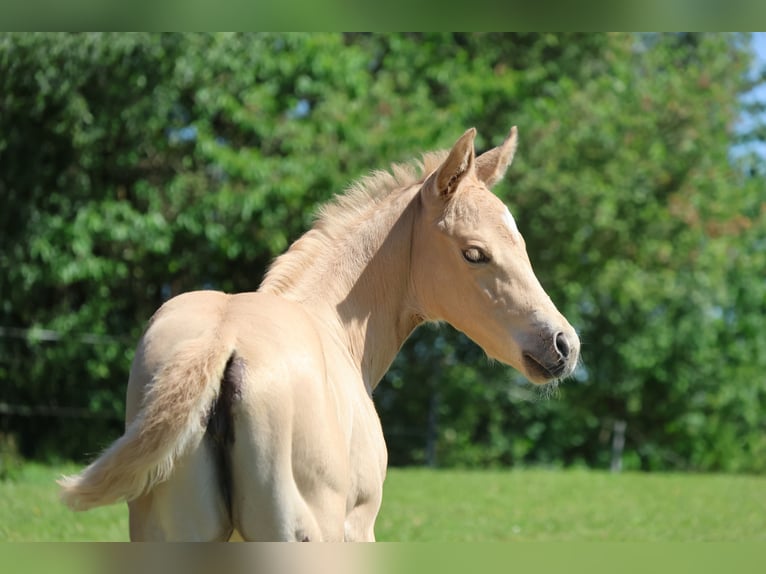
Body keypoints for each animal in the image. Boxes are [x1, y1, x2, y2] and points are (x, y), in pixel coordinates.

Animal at [58, 126, 580, 541]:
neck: (332, 323)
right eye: (474, 253)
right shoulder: (359, 525)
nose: (563, 344)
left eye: (521, 242)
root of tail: (221, 345)